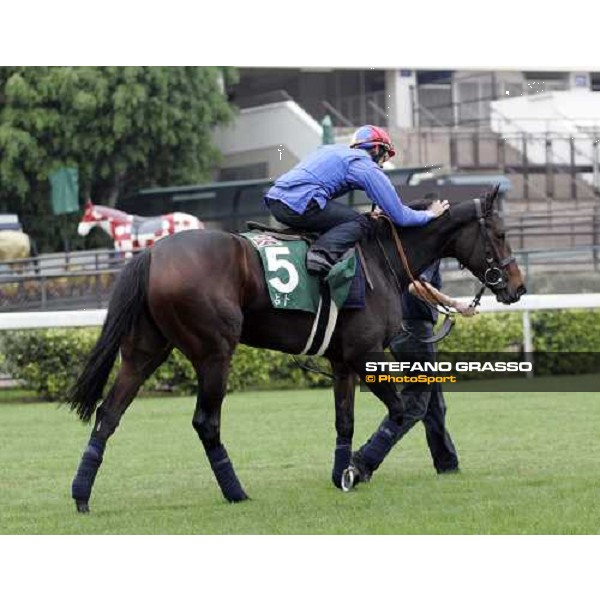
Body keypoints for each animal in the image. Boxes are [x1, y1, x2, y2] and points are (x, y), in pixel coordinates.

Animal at [68, 186, 524, 510]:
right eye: (501, 234)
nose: (517, 287)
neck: (381, 259)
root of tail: (152, 254)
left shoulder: (342, 361)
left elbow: (345, 421)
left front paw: (343, 473)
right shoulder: (364, 354)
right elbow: (402, 411)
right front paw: (358, 467)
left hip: (145, 350)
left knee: (109, 414)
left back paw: (81, 494)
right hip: (215, 352)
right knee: (205, 422)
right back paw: (236, 491)